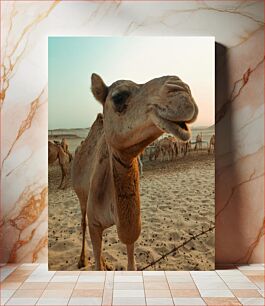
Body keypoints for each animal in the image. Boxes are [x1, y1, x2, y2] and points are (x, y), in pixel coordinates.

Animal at [71, 73, 197, 268]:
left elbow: (131, 262)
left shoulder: (132, 230)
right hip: (81, 197)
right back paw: (82, 260)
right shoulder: (95, 224)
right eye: (118, 97)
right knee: (83, 222)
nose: (183, 91)